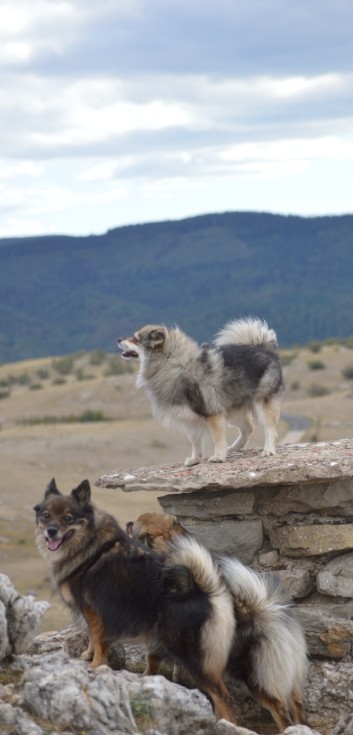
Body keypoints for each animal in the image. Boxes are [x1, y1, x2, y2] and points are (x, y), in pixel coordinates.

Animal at [33, 480, 236, 728]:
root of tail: (206, 593)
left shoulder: (94, 610)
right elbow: (91, 637)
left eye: (68, 518)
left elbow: (98, 640)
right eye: (46, 515)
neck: (89, 546)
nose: (51, 531)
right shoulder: (92, 613)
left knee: (222, 695)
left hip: (191, 656)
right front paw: (87, 656)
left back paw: (228, 725)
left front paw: (95, 666)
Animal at [118, 316, 284, 466]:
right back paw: (236, 447)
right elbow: (195, 442)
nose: (119, 339)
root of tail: (264, 347)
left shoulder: (213, 412)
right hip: (233, 407)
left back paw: (268, 450)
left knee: (269, 428)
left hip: (261, 402)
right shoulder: (190, 419)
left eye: (136, 339)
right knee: (249, 427)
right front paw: (195, 459)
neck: (170, 363)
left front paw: (218, 456)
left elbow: (217, 438)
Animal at [128, 516, 306, 732]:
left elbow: (151, 665)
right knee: (296, 707)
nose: (127, 522)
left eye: (136, 528)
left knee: (274, 710)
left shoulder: (157, 646)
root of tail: (268, 613)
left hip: (252, 677)